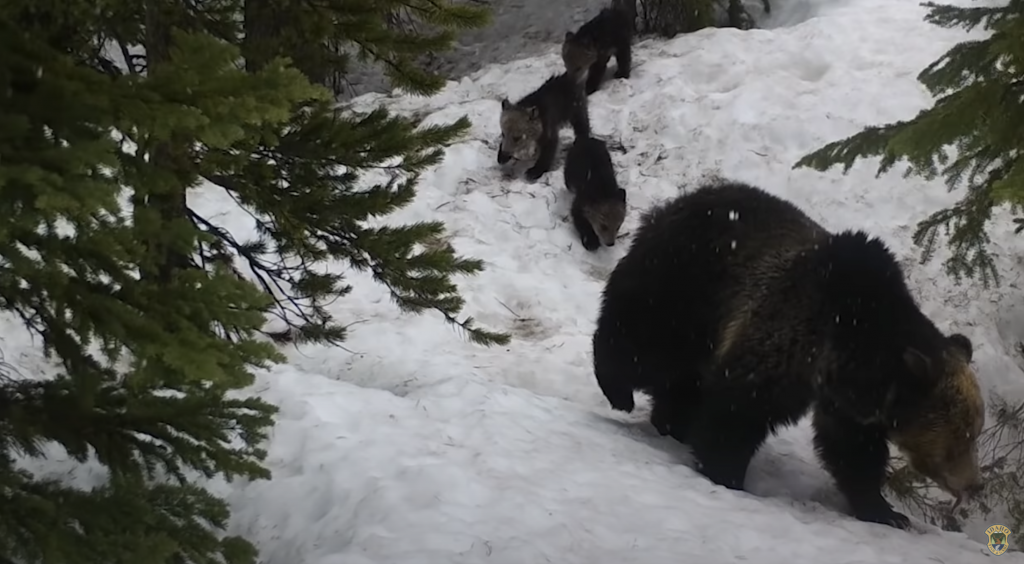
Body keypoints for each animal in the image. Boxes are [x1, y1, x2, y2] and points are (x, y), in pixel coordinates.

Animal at [593, 181, 983, 528]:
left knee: (683, 380)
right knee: (641, 341)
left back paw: (671, 423)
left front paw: (885, 512)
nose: (973, 485)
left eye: (973, 431)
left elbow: (853, 452)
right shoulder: (788, 338)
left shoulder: (845, 402)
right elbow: (739, 409)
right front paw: (726, 472)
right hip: (686, 286)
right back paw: (619, 391)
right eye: (962, 437)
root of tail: (683, 199)